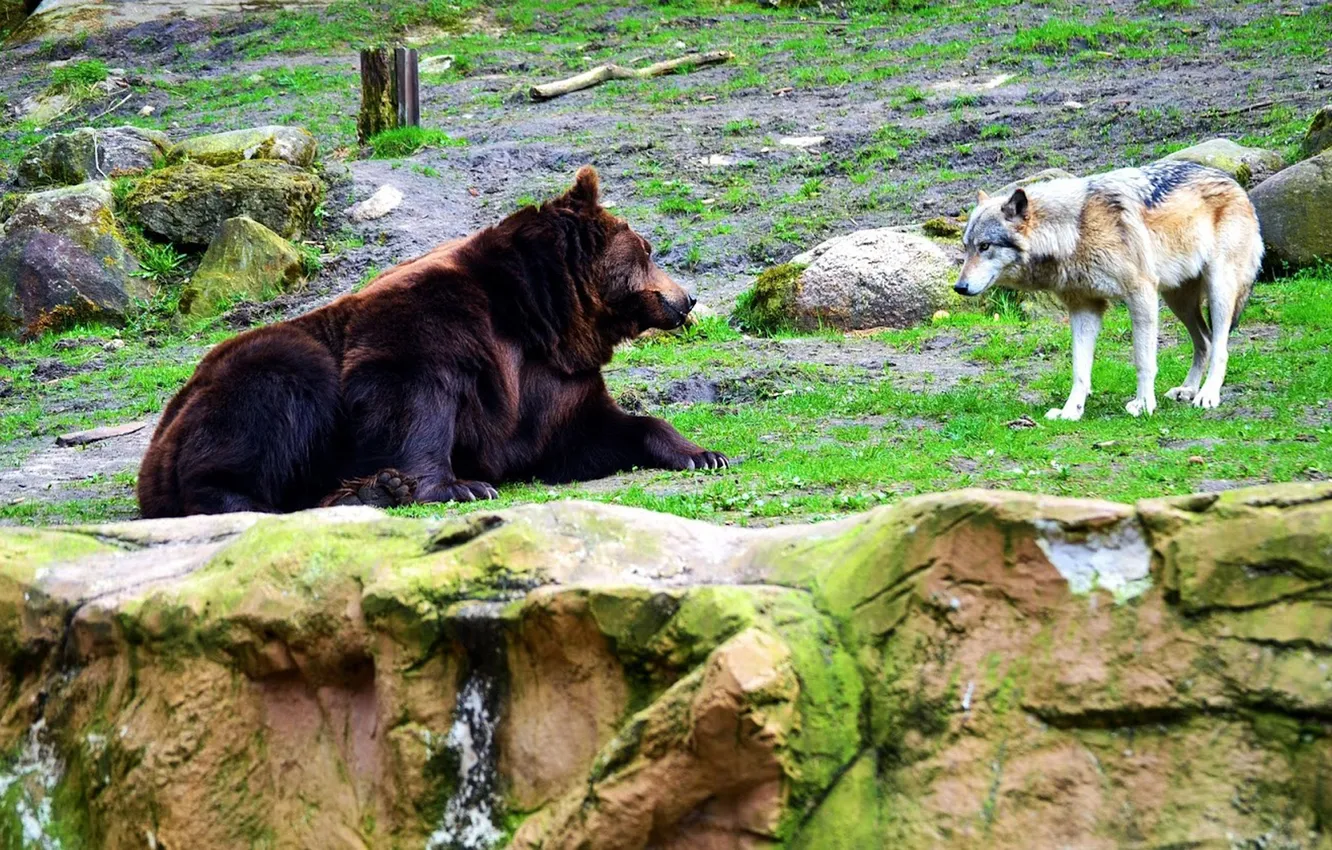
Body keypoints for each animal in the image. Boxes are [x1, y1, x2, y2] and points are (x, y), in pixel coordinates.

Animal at [136, 166, 728, 518]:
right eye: (647, 249)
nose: (687, 298)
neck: (543, 316)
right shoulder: (436, 321)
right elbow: (409, 397)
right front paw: (460, 485)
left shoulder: (554, 380)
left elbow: (590, 432)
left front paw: (703, 453)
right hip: (247, 381)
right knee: (276, 392)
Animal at [955, 160, 1263, 420]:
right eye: (966, 247)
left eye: (985, 246)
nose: (959, 287)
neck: (1074, 230)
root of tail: (1235, 183)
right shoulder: (1084, 307)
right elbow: (1079, 369)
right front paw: (1071, 411)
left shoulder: (1141, 295)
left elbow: (1143, 360)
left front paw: (1144, 404)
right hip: (1177, 300)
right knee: (1205, 341)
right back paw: (1187, 390)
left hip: (1217, 289)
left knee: (1220, 346)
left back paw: (1207, 395)